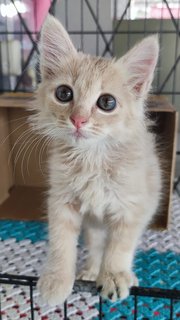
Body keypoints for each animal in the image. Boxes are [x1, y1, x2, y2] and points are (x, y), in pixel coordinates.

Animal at [35, 15, 162, 304]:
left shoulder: (131, 208)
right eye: (64, 94)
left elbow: (120, 246)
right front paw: (57, 278)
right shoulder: (61, 200)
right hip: (93, 223)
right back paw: (92, 270)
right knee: (95, 245)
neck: (92, 158)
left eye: (107, 102)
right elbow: (61, 242)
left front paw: (114, 275)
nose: (78, 120)